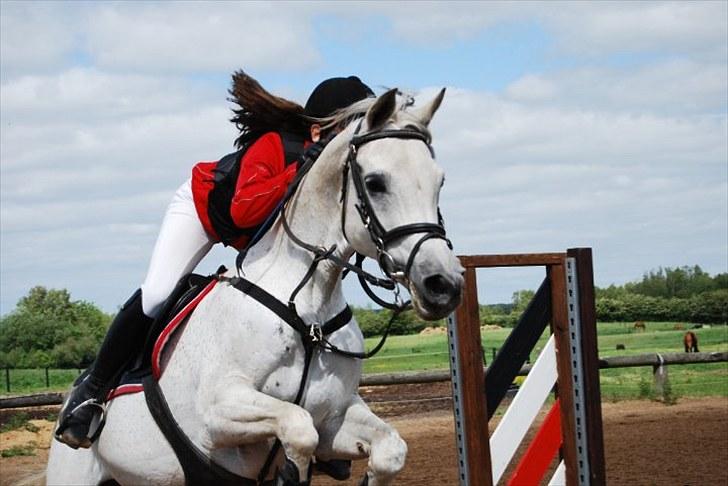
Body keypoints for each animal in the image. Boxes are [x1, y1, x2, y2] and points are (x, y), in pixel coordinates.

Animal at [48, 89, 464, 484]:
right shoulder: (218, 412)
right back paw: (81, 411)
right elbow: (299, 428)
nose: (443, 285)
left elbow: (389, 448)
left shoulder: (335, 415)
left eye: (440, 181)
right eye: (376, 183)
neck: (308, 309)